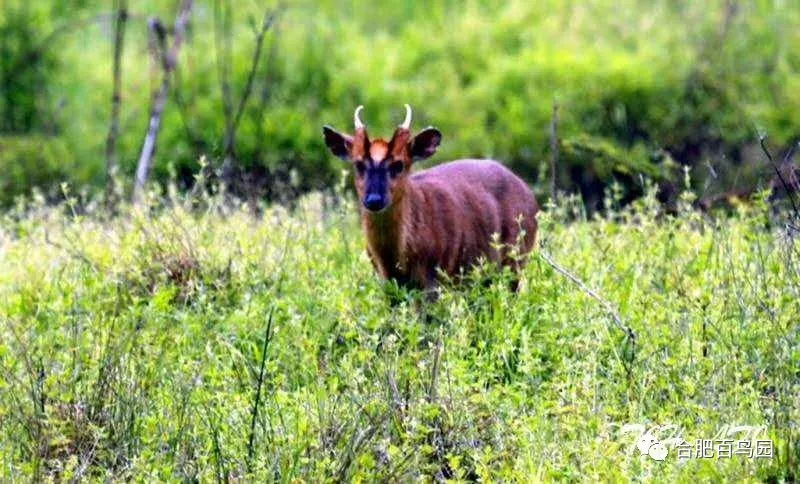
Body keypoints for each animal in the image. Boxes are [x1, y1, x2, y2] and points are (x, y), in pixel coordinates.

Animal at [324, 103, 536, 290]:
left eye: (399, 164)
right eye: (358, 164)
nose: (374, 200)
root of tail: (529, 194)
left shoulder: (434, 275)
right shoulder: (385, 279)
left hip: (515, 258)